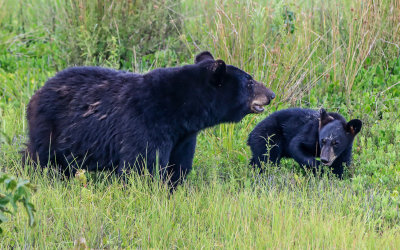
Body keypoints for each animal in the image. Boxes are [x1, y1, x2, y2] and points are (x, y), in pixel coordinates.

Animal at [24, 50, 276, 185]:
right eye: (249, 82)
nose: (271, 95)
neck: (181, 108)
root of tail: (38, 91)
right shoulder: (146, 122)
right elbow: (142, 164)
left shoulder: (183, 137)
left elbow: (178, 165)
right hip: (50, 127)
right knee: (42, 159)